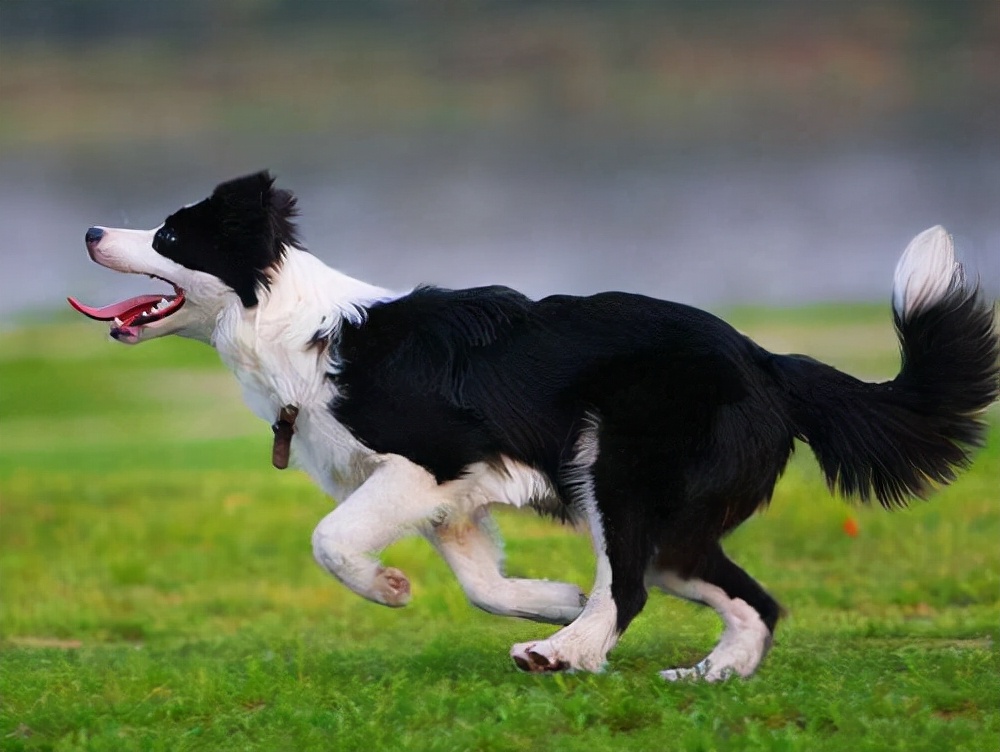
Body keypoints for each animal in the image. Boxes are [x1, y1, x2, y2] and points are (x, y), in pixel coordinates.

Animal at [68, 172, 992, 680]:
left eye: (170, 234)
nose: (89, 228)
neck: (297, 331)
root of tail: (771, 361)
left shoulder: (432, 459)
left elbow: (331, 540)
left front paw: (390, 588)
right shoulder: (451, 500)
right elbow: (483, 583)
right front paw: (549, 600)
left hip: (617, 471)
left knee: (632, 584)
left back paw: (570, 655)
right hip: (669, 520)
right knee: (742, 596)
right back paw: (707, 672)